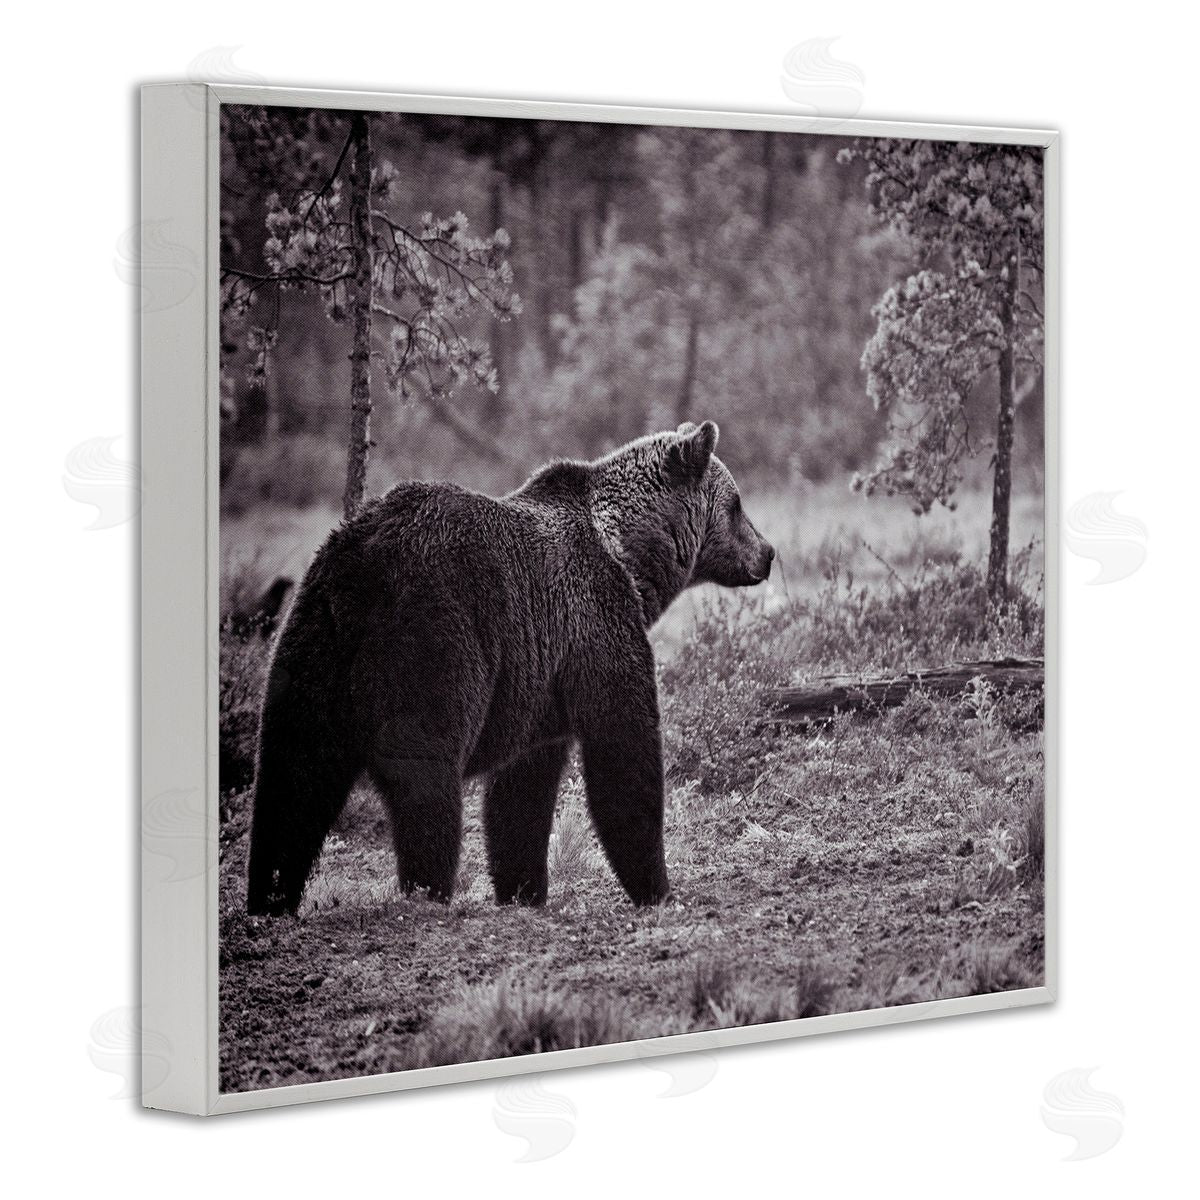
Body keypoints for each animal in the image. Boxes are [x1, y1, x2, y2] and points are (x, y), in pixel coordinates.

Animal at [245, 420, 774, 916]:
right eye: (737, 504)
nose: (767, 553)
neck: (628, 555)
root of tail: (364, 563)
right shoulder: (596, 623)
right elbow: (623, 748)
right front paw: (658, 888)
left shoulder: (539, 685)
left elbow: (521, 793)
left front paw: (524, 890)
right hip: (432, 637)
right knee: (423, 775)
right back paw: (427, 890)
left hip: (313, 639)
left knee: (292, 776)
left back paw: (269, 898)